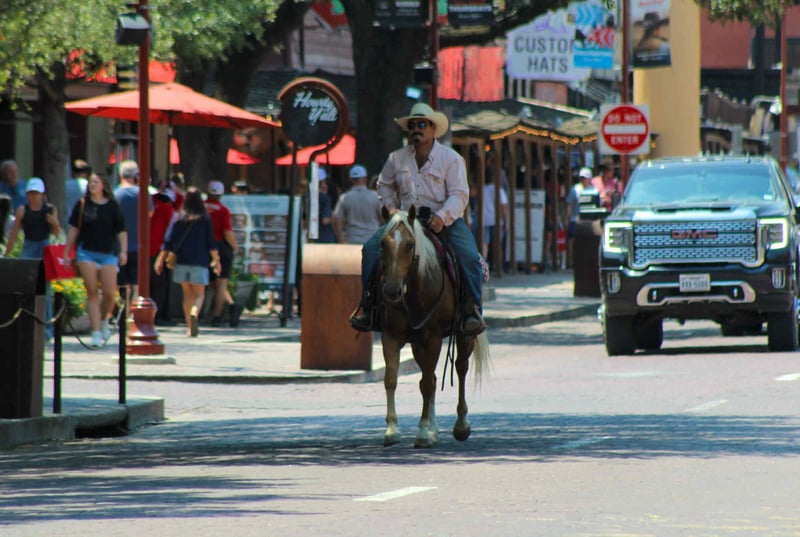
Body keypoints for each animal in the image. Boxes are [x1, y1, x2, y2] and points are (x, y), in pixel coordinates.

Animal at [378, 206, 490, 448]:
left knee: (460, 369)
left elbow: (428, 385)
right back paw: (434, 428)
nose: (392, 291)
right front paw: (392, 429)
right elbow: (391, 379)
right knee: (431, 377)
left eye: (410, 244)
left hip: (464, 336)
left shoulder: (434, 337)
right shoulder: (390, 335)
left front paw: (422, 432)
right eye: (382, 243)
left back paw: (461, 425)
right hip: (418, 344)